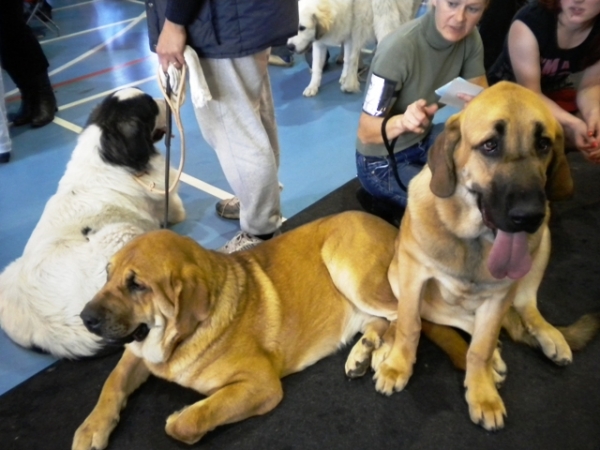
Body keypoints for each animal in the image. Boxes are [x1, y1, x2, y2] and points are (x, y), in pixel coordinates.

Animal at [288, 0, 420, 97]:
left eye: (302, 28)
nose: (289, 47)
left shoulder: (350, 38)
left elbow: (348, 60)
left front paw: (344, 77)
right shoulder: (319, 44)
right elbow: (316, 67)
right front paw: (312, 86)